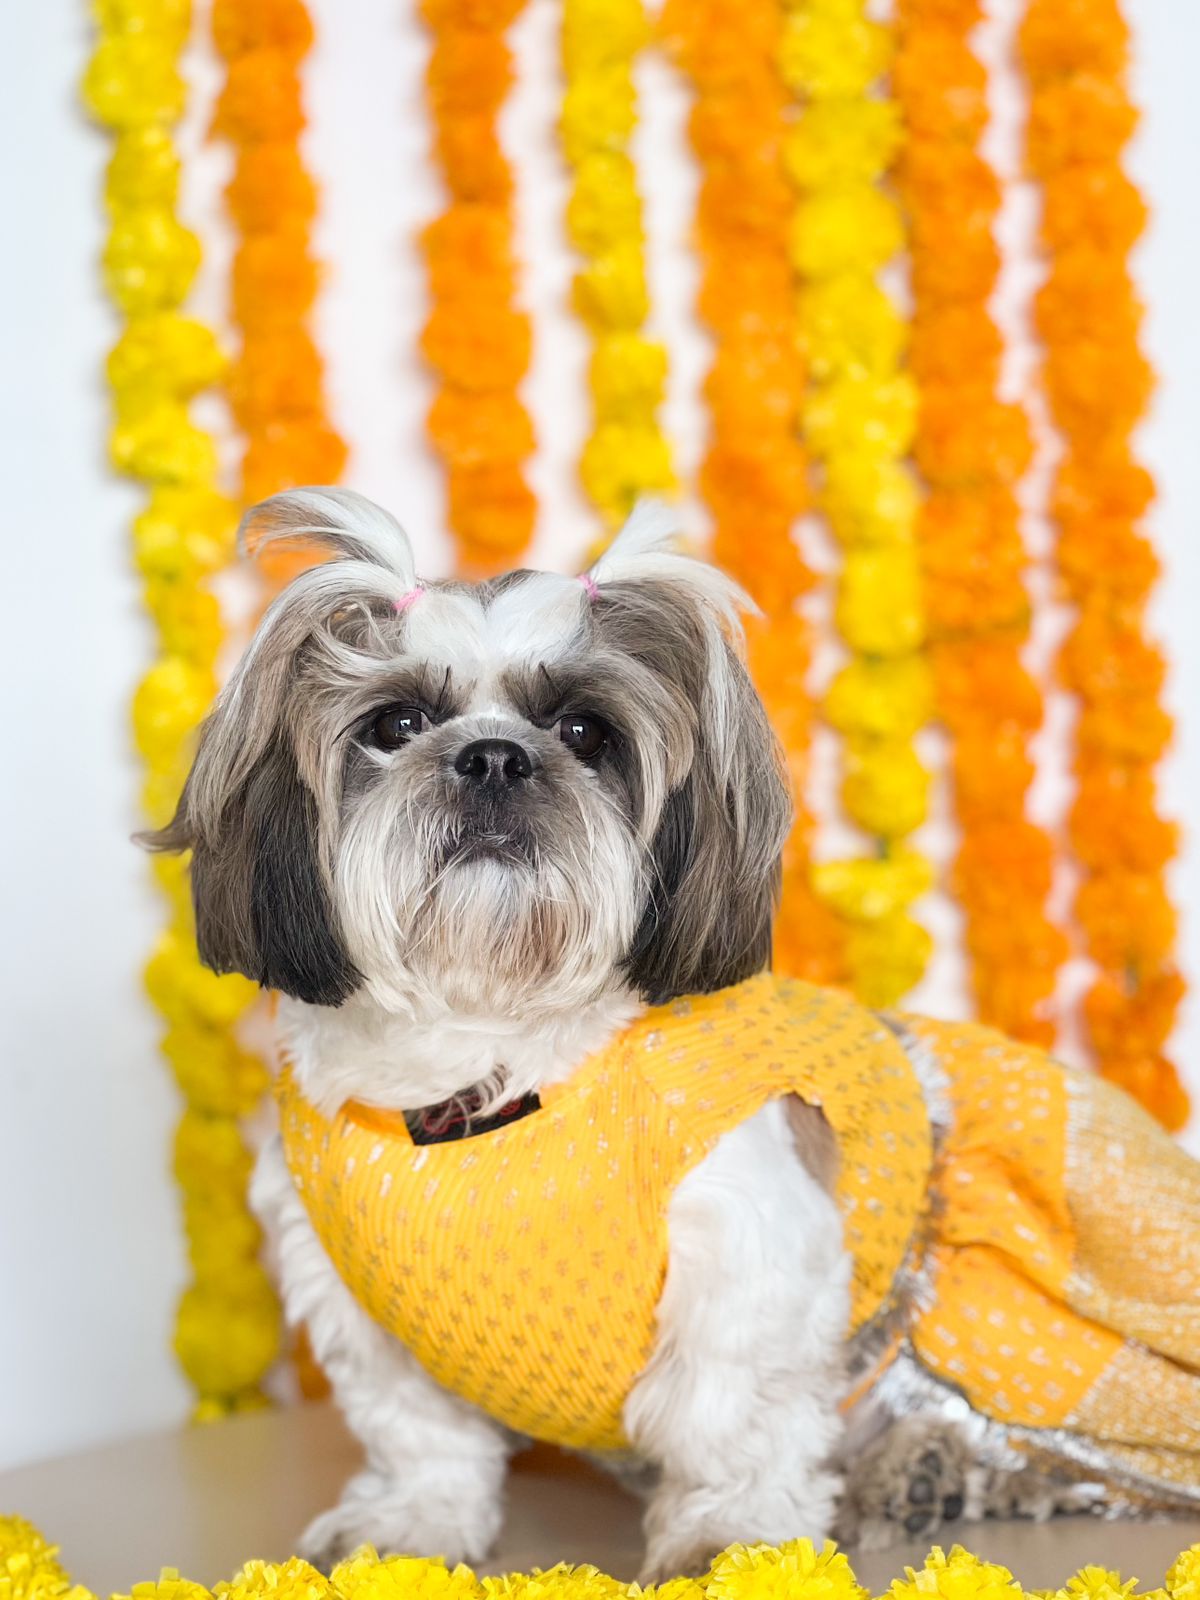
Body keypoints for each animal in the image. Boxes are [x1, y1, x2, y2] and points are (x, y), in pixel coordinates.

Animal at [143, 486, 1196, 1574]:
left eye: (584, 728)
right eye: (397, 722)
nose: (493, 755)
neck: (491, 1070)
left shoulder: (751, 1249)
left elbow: (724, 1409)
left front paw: (733, 1540)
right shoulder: (354, 1299)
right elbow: (418, 1430)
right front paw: (412, 1524)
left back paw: (922, 1468)